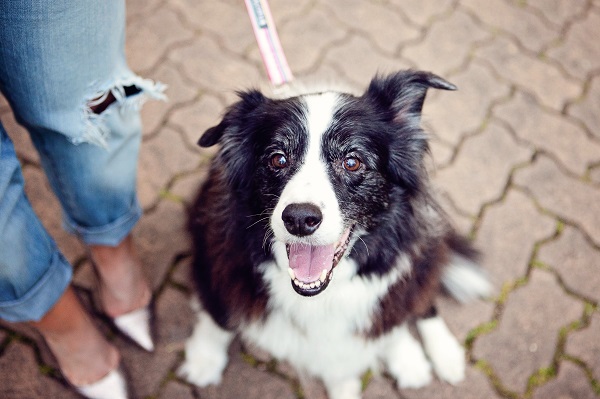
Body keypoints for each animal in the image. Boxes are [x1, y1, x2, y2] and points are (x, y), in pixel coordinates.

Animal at [179, 70, 492, 398]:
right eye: (277, 159)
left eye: (352, 161)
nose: (299, 219)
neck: (317, 297)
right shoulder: (215, 258)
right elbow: (217, 316)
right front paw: (204, 360)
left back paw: (438, 355)